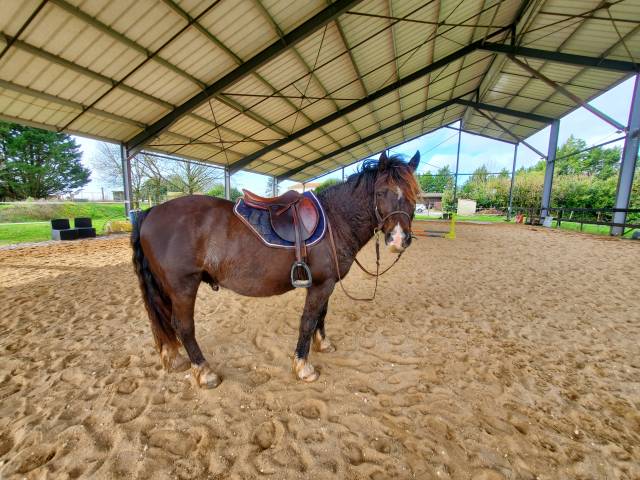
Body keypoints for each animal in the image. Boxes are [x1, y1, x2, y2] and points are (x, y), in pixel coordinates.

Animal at [131, 151, 421, 388]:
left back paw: (174, 359)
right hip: (183, 287)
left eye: (413, 194)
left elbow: (321, 316)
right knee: (183, 327)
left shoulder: (327, 283)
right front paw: (303, 367)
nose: (398, 239)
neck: (335, 219)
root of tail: (150, 212)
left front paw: (323, 344)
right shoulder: (321, 285)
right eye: (381, 192)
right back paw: (205, 372)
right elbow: (308, 321)